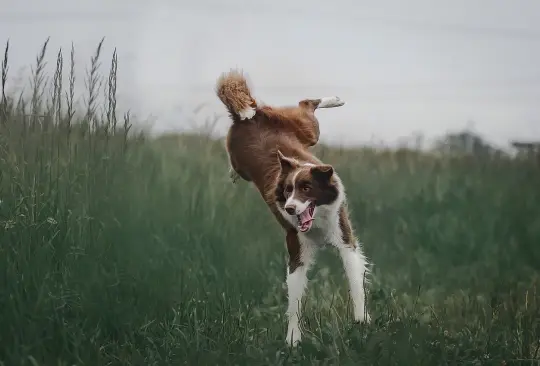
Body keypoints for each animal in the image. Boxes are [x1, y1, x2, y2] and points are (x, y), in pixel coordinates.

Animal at [215, 69, 372, 346]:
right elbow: (295, 301)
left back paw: (335, 99)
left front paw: (361, 319)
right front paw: (293, 340)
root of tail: (249, 116)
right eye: (288, 190)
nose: (289, 208)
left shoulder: (344, 238)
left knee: (306, 104)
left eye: (306, 188)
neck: (317, 222)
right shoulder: (296, 249)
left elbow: (355, 281)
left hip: (307, 130)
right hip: (253, 150)